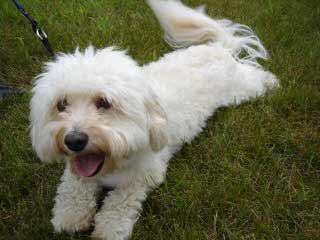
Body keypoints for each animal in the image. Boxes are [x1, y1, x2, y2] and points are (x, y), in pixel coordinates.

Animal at [30, 0, 280, 239]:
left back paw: (271, 82)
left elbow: (120, 201)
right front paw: (70, 215)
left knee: (255, 77)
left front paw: (110, 228)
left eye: (104, 102)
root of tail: (217, 48)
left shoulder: (146, 173)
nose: (74, 140)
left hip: (241, 90)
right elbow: (73, 187)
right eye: (61, 104)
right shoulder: (78, 172)